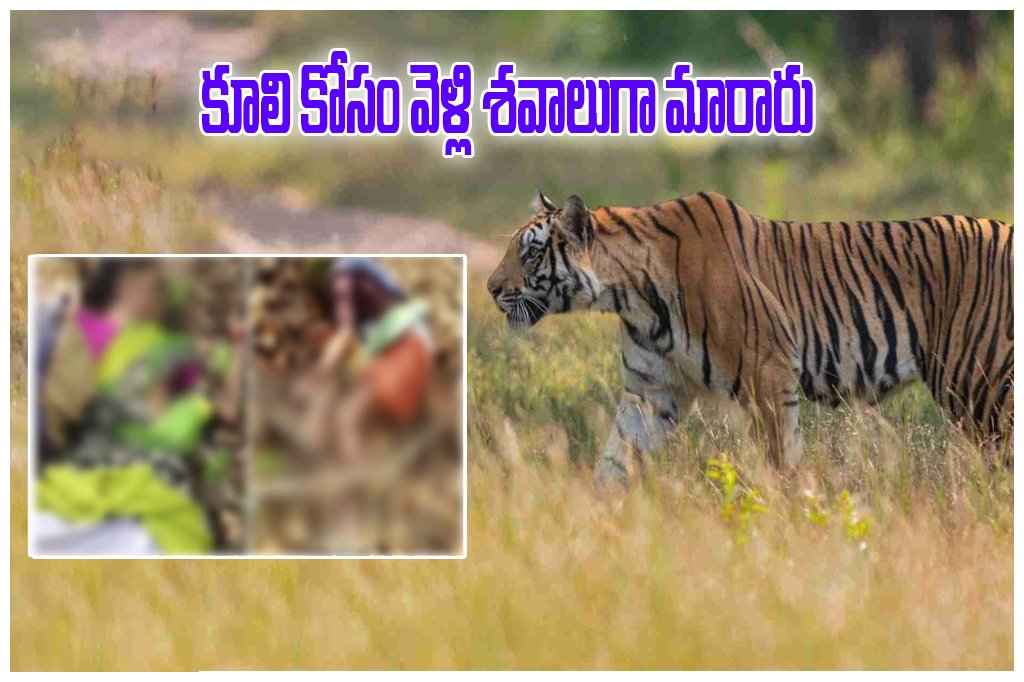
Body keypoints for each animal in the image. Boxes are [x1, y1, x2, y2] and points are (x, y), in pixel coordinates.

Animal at [486, 190, 1013, 482]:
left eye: (530, 253)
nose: (490, 288)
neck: (631, 295)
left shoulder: (768, 376)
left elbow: (780, 463)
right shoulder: (650, 392)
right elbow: (615, 461)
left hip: (980, 385)